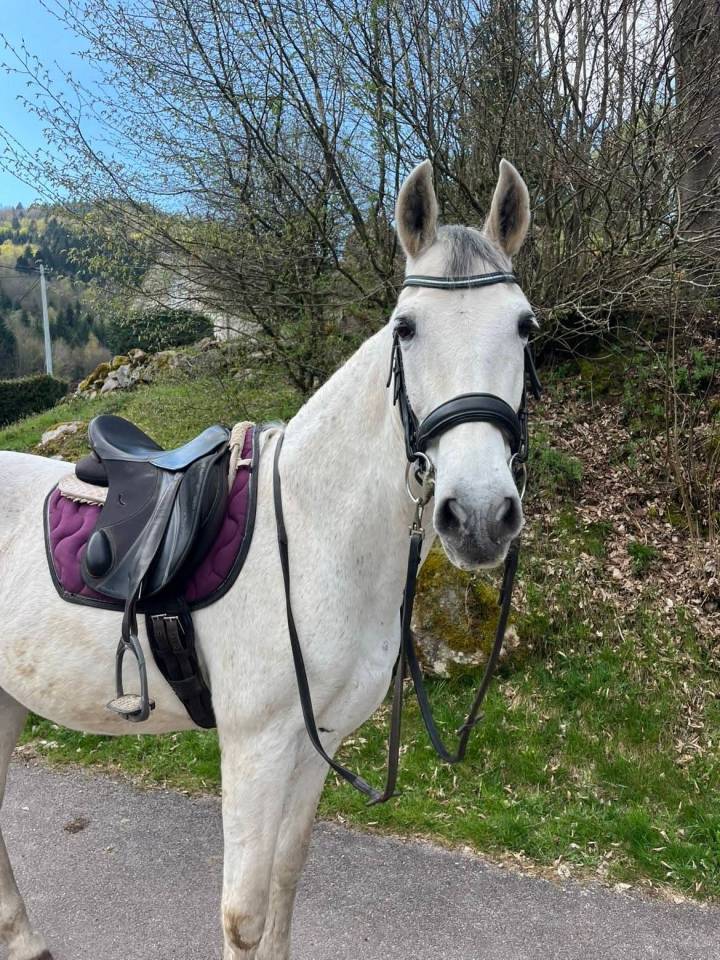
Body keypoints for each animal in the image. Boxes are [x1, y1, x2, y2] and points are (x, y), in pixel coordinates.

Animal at [0, 157, 534, 960]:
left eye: (525, 325)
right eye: (405, 328)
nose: (476, 516)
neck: (315, 536)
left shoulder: (317, 743)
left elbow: (286, 881)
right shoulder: (255, 749)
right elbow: (244, 914)